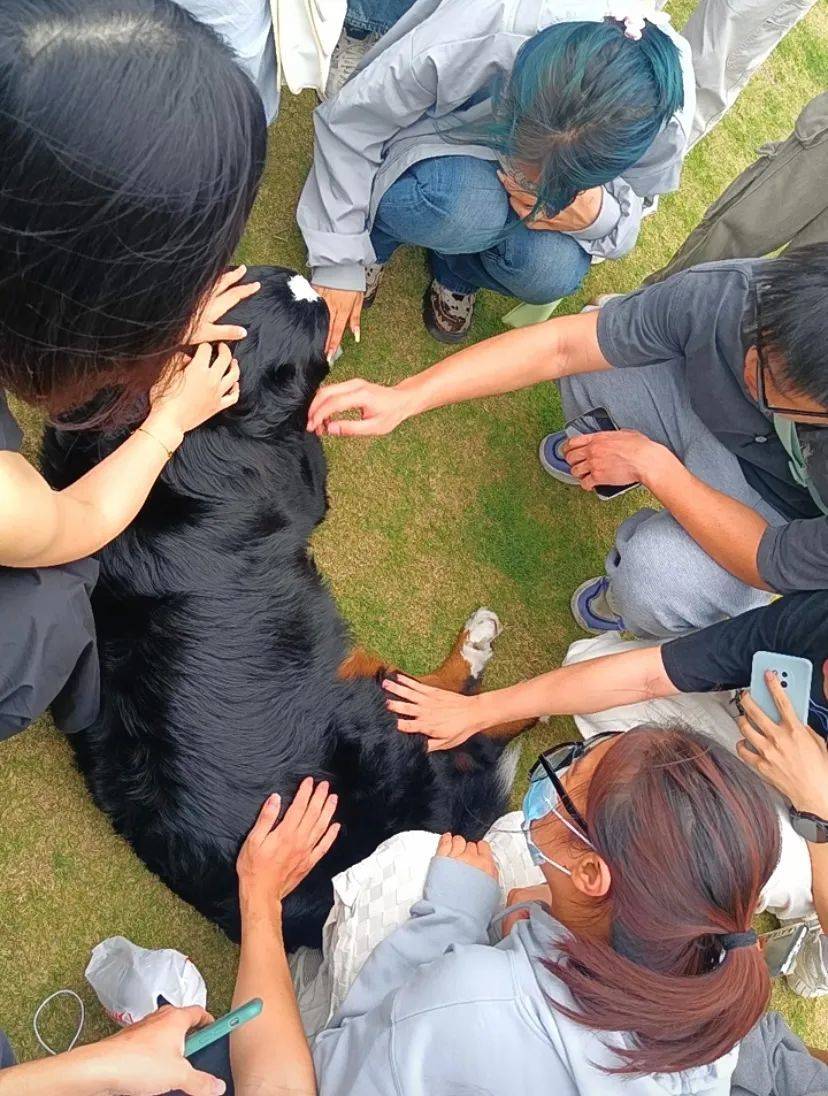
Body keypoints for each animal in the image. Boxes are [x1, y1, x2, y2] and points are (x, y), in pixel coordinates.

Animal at [45, 267, 511, 951]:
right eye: (311, 337)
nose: (316, 285)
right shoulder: (297, 481)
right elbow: (310, 449)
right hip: (370, 712)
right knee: (451, 711)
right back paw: (474, 649)